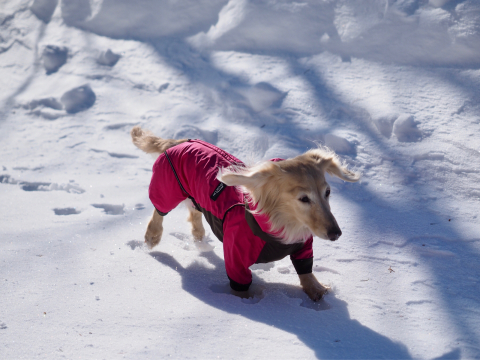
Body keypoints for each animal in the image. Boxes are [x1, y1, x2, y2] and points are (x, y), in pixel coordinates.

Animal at [129, 126, 358, 300]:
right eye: (303, 199)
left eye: (327, 192)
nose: (336, 234)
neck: (282, 226)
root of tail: (181, 141)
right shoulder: (236, 258)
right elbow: (241, 287)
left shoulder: (303, 247)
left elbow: (306, 271)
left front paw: (317, 291)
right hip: (168, 188)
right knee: (160, 210)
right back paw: (152, 235)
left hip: (193, 195)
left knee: (194, 212)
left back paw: (199, 236)